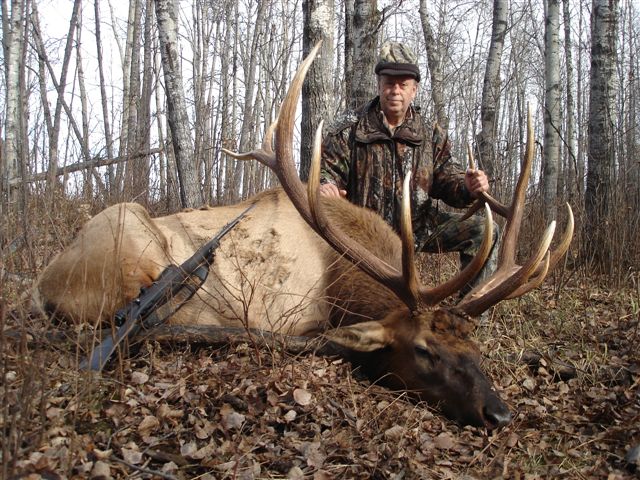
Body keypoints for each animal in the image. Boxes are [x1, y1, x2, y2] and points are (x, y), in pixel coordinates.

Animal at [31, 43, 573, 429]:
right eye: (425, 350)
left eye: (475, 348)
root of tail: (41, 284)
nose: (498, 414)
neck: (342, 283)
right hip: (131, 241)